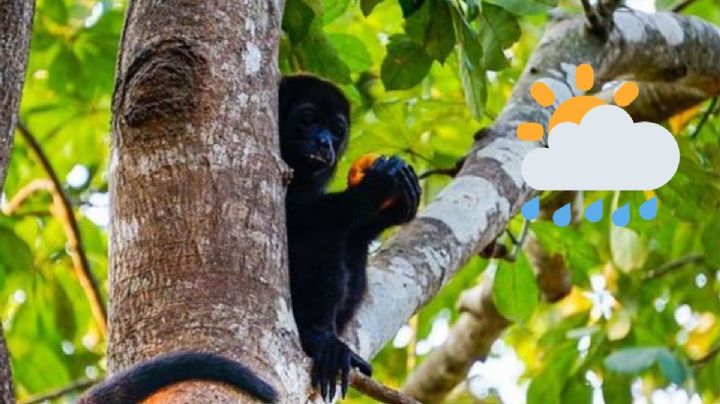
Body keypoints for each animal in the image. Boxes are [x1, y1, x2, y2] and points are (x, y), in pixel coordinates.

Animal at [280, 75, 421, 401]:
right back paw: (317, 337)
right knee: (324, 234)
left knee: (352, 246)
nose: (325, 143)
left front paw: (396, 209)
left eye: (336, 130)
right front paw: (378, 185)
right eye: (308, 119)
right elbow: (293, 213)